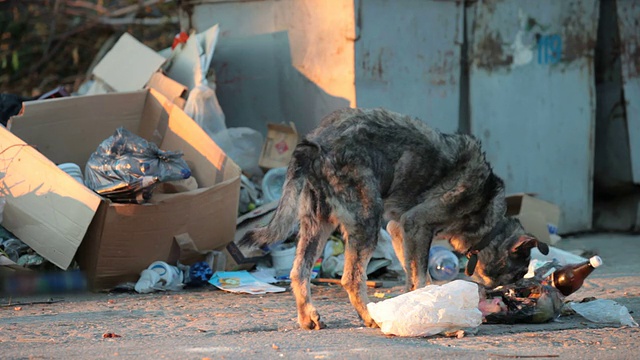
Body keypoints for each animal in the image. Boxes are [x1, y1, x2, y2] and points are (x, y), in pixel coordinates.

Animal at [238, 108, 548, 330]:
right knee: (351, 278)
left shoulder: (400, 228)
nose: (508, 297)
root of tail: (313, 143)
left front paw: (416, 303)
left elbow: (414, 275)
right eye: (517, 274)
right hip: (366, 221)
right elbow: (420, 275)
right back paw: (369, 318)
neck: (487, 214)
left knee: (299, 272)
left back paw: (309, 317)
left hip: (317, 224)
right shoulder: (417, 224)